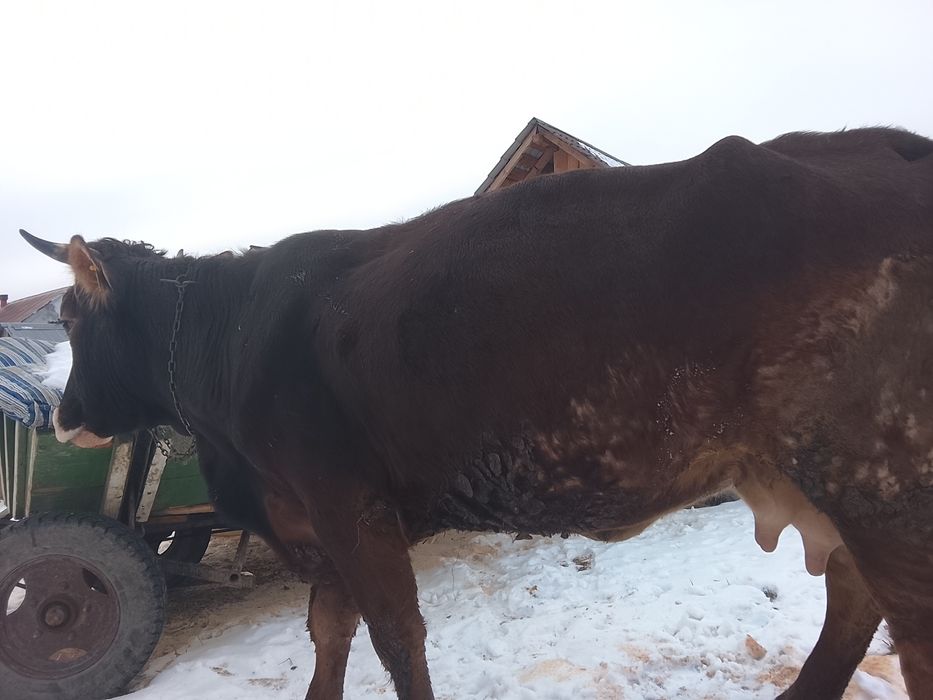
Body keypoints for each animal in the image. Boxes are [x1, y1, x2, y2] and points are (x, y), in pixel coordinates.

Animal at [21, 126, 933, 699]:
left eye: (70, 317)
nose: (62, 417)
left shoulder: (347, 504)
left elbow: (394, 636)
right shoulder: (319, 519)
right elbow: (329, 630)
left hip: (879, 472)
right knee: (853, 598)